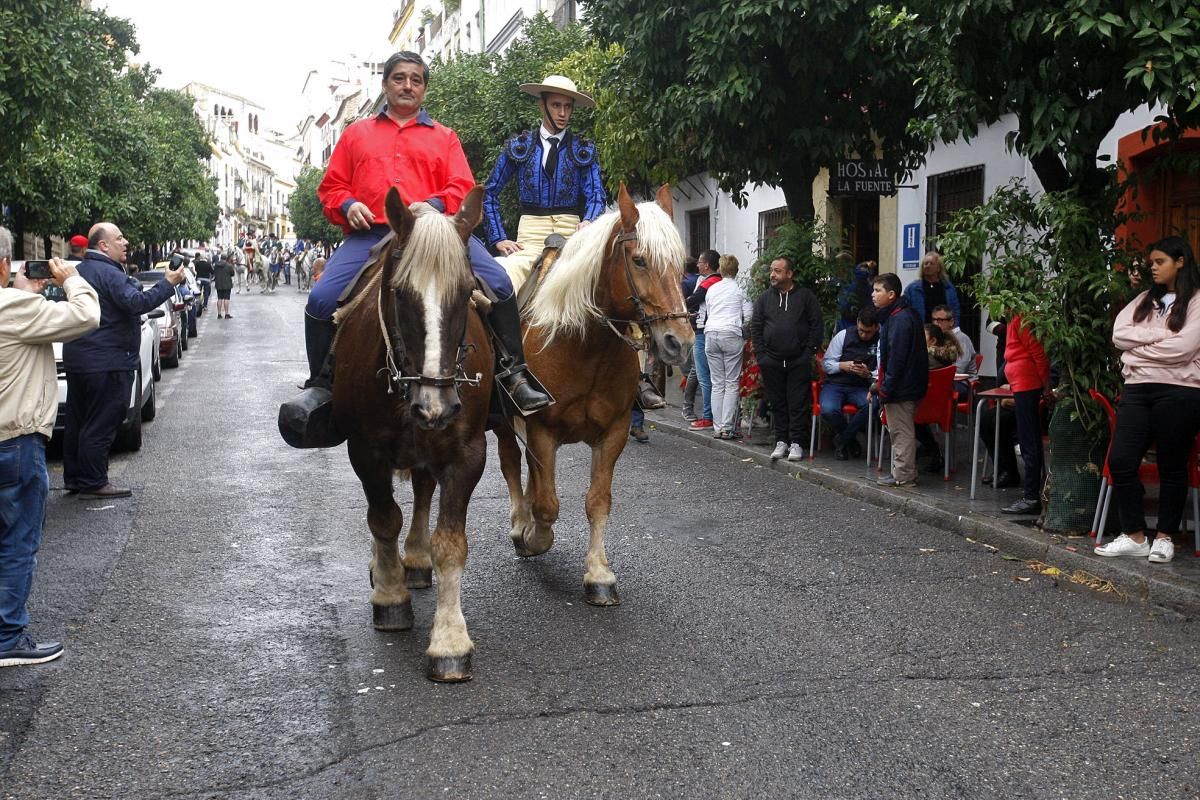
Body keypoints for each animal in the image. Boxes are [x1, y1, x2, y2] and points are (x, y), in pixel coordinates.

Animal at [333, 185, 492, 681]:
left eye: (467, 290)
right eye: (400, 293)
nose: (435, 406)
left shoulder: (466, 454)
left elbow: (451, 543)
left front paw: (449, 640)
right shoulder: (365, 451)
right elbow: (383, 518)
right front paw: (390, 597)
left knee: (423, 490)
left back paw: (417, 560)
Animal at [492, 183, 691, 606]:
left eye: (682, 263)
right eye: (639, 260)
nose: (678, 343)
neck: (585, 344)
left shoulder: (613, 432)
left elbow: (597, 501)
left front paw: (599, 574)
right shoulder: (543, 430)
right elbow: (547, 504)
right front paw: (534, 537)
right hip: (502, 421)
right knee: (511, 464)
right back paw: (520, 524)